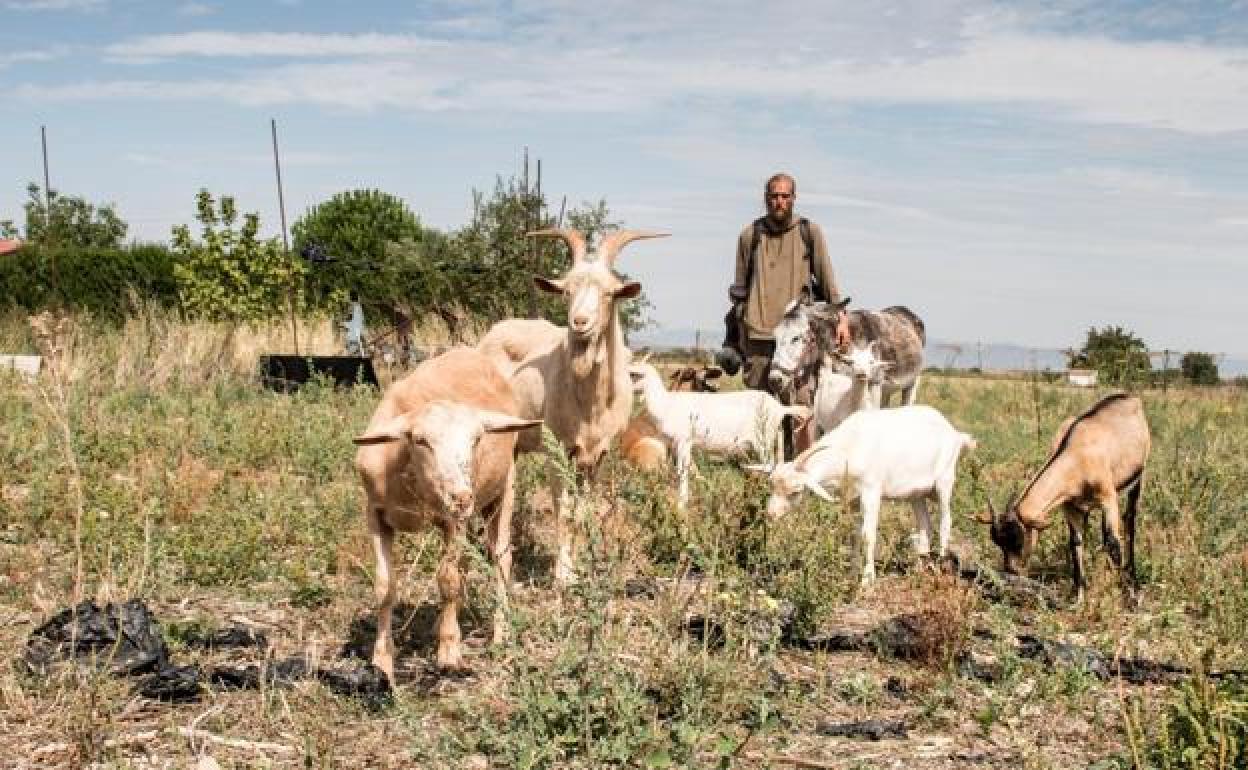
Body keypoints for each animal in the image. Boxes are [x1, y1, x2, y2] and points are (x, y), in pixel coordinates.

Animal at [356, 349, 541, 678]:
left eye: (476, 439)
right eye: (420, 440)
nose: (462, 497)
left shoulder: (453, 520)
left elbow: (448, 580)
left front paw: (449, 653)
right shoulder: (375, 514)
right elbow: (384, 586)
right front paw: (381, 659)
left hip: (504, 487)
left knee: (501, 557)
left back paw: (500, 635)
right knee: (466, 561)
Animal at [628, 361, 813, 506]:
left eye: (634, 374)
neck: (665, 404)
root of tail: (780, 408)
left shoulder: (684, 441)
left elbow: (683, 470)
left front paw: (682, 503)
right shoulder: (678, 444)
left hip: (763, 443)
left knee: (770, 466)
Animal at [748, 404, 973, 586]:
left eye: (795, 492)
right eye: (771, 486)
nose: (770, 514)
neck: (852, 445)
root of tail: (955, 432)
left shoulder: (871, 492)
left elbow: (867, 535)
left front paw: (867, 579)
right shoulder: (854, 499)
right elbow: (854, 536)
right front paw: (851, 573)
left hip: (945, 481)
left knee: (945, 522)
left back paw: (941, 565)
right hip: (915, 494)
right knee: (925, 524)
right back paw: (919, 569)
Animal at [973, 389, 1148, 601]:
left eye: (1018, 538)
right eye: (997, 541)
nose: (1011, 570)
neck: (1076, 452)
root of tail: (1128, 396)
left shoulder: (1108, 498)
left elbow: (1114, 543)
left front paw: (1128, 597)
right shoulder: (1071, 506)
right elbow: (1075, 543)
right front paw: (1078, 597)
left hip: (1137, 479)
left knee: (1129, 521)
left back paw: (1133, 579)